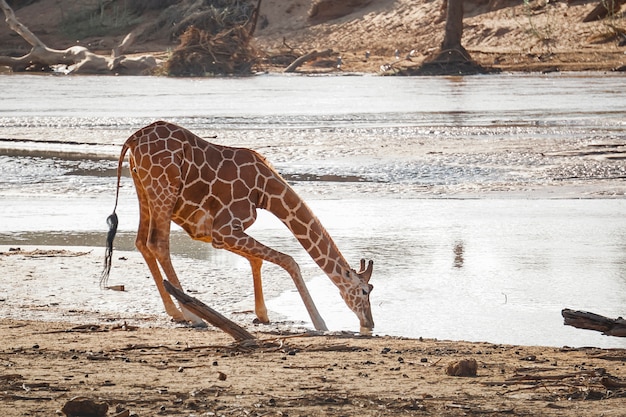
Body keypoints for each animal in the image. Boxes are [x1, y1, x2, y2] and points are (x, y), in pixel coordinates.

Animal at [100, 119, 372, 332]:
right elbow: (289, 261)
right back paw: (193, 316)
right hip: (163, 189)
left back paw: (175, 313)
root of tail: (133, 139)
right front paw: (320, 323)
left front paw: (262, 314)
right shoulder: (225, 230)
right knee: (158, 243)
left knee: (141, 242)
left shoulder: (214, 235)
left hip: (142, 188)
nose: (370, 323)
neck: (265, 191)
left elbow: (257, 260)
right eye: (365, 291)